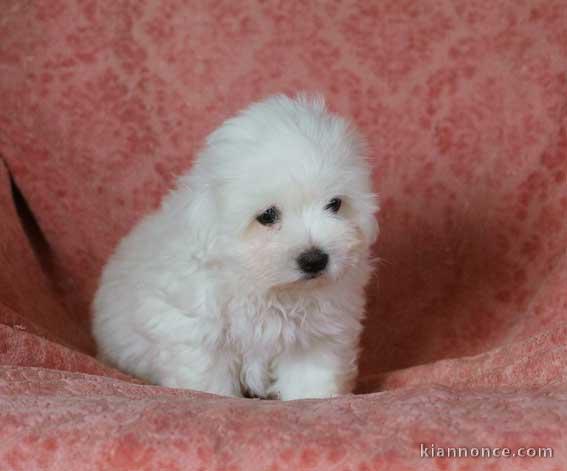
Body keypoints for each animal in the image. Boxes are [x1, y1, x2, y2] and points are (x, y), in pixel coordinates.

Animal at [93, 94, 380, 400]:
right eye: (267, 216)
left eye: (335, 204)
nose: (314, 260)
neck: (268, 288)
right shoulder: (198, 333)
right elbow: (209, 382)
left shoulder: (316, 336)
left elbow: (311, 380)